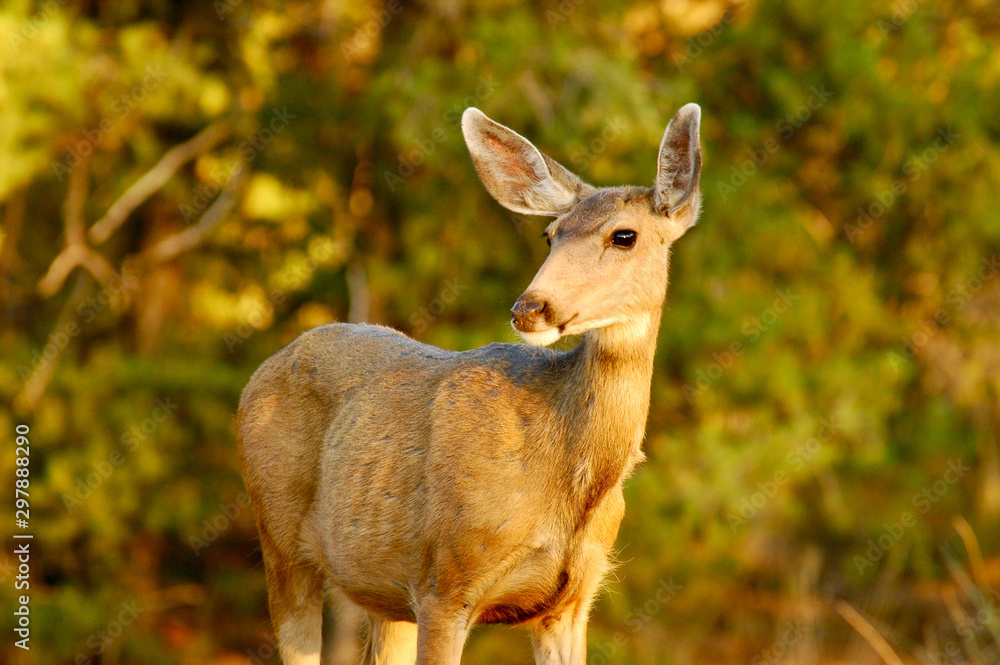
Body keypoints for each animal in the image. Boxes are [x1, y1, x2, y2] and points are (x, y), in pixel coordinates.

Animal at [237, 102, 703, 665]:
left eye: (624, 235)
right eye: (550, 234)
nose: (530, 307)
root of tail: (263, 370)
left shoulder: (572, 600)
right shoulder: (445, 582)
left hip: (383, 591)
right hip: (280, 539)